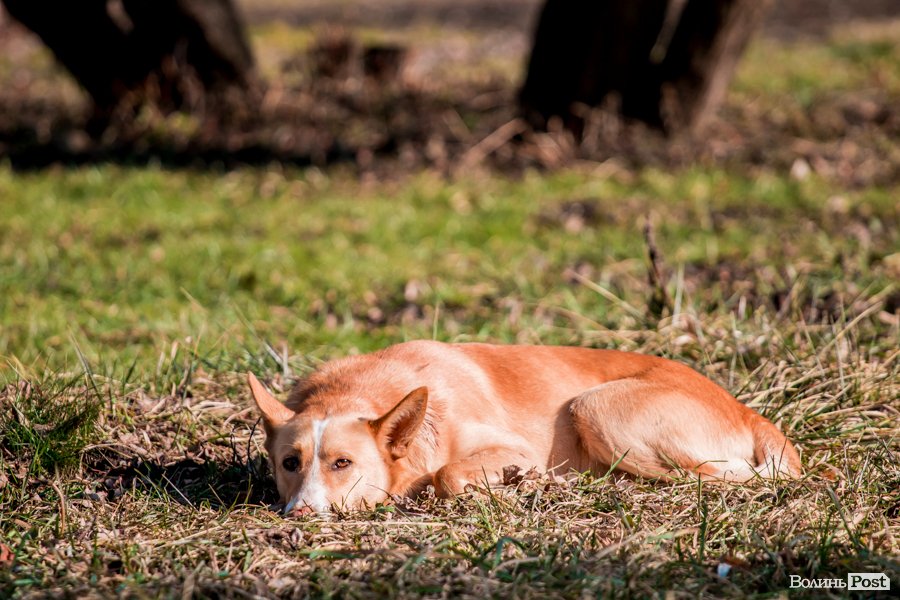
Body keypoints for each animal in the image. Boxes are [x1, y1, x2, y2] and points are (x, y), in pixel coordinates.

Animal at [249, 341, 801, 515]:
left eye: (342, 463)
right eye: (290, 463)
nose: (300, 515)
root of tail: (749, 411)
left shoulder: (513, 450)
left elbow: (448, 475)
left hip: (594, 408)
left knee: (707, 477)